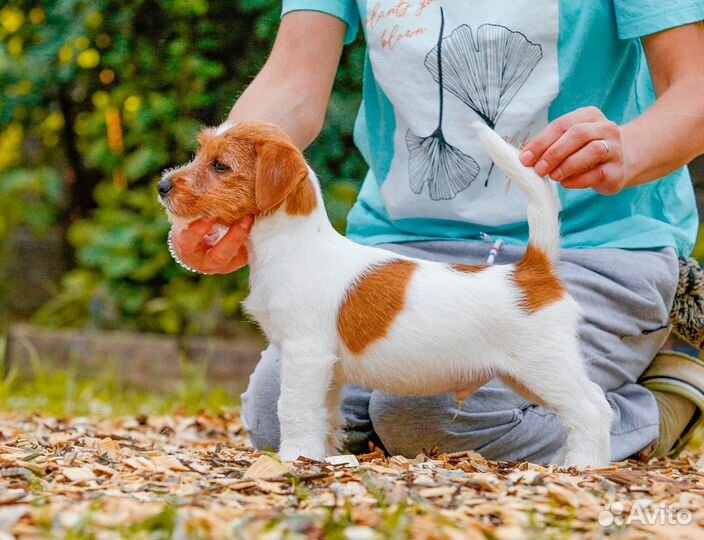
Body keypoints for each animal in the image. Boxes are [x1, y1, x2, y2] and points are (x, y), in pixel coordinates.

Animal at [158, 120, 612, 466]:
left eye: (220, 166)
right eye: (201, 154)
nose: (162, 185)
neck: (292, 244)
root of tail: (533, 270)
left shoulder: (305, 354)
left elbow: (293, 407)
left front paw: (294, 457)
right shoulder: (326, 369)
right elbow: (325, 413)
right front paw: (323, 455)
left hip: (544, 365)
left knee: (591, 408)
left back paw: (582, 465)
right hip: (528, 375)